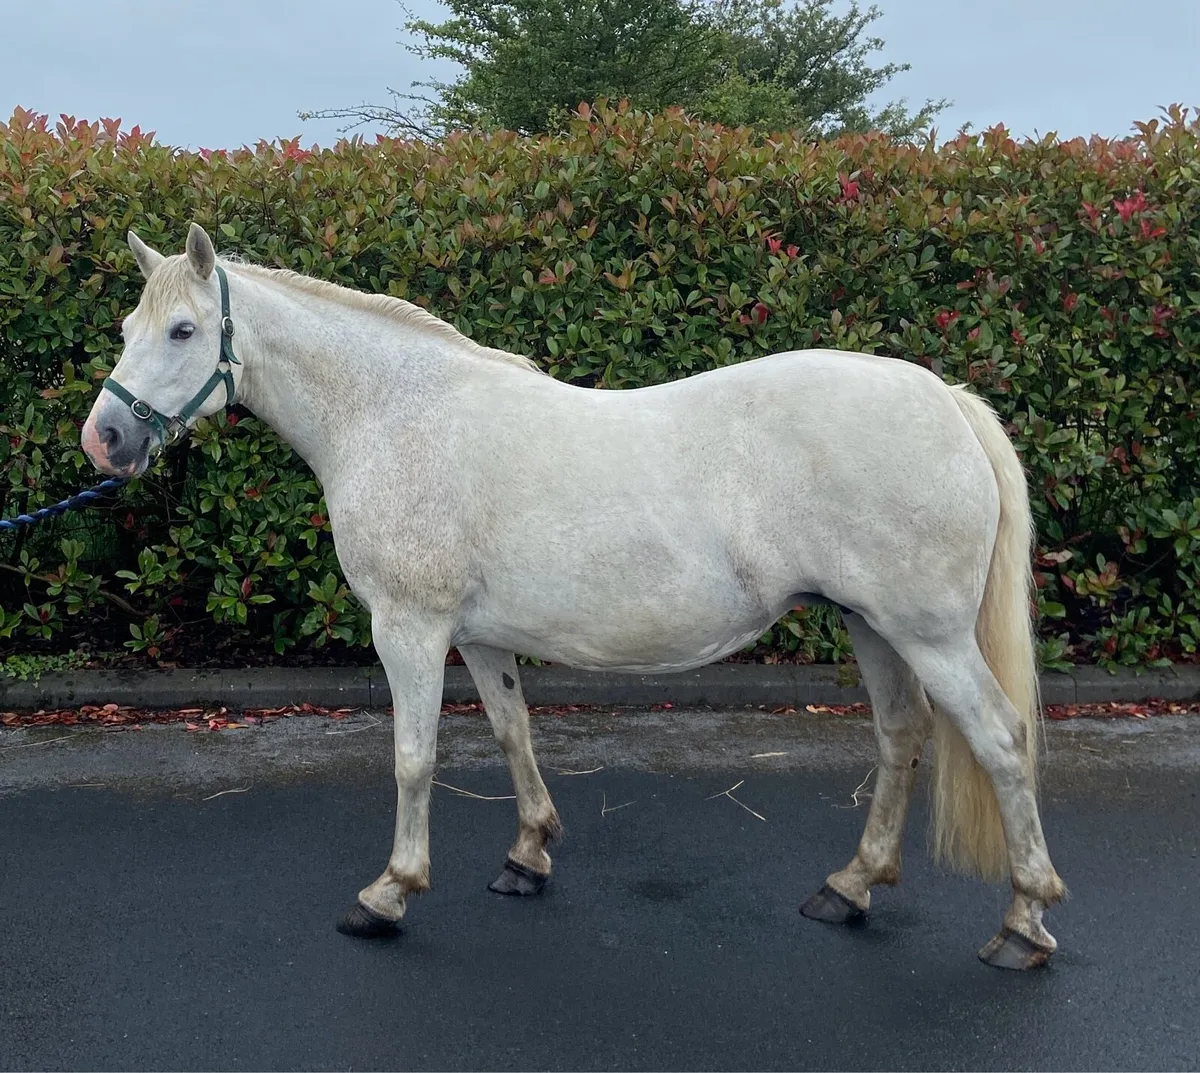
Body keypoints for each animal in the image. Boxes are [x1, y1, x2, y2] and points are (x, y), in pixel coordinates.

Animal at [82, 224, 1066, 969]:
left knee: (999, 740)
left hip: (929, 633)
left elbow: (413, 759)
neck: (395, 416)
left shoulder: (410, 628)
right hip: (874, 625)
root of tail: (942, 397)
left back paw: (1023, 923)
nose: (105, 438)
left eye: (181, 331)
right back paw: (850, 885)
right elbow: (513, 731)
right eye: (129, 322)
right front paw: (527, 855)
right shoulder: (479, 635)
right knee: (901, 736)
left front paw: (390, 891)